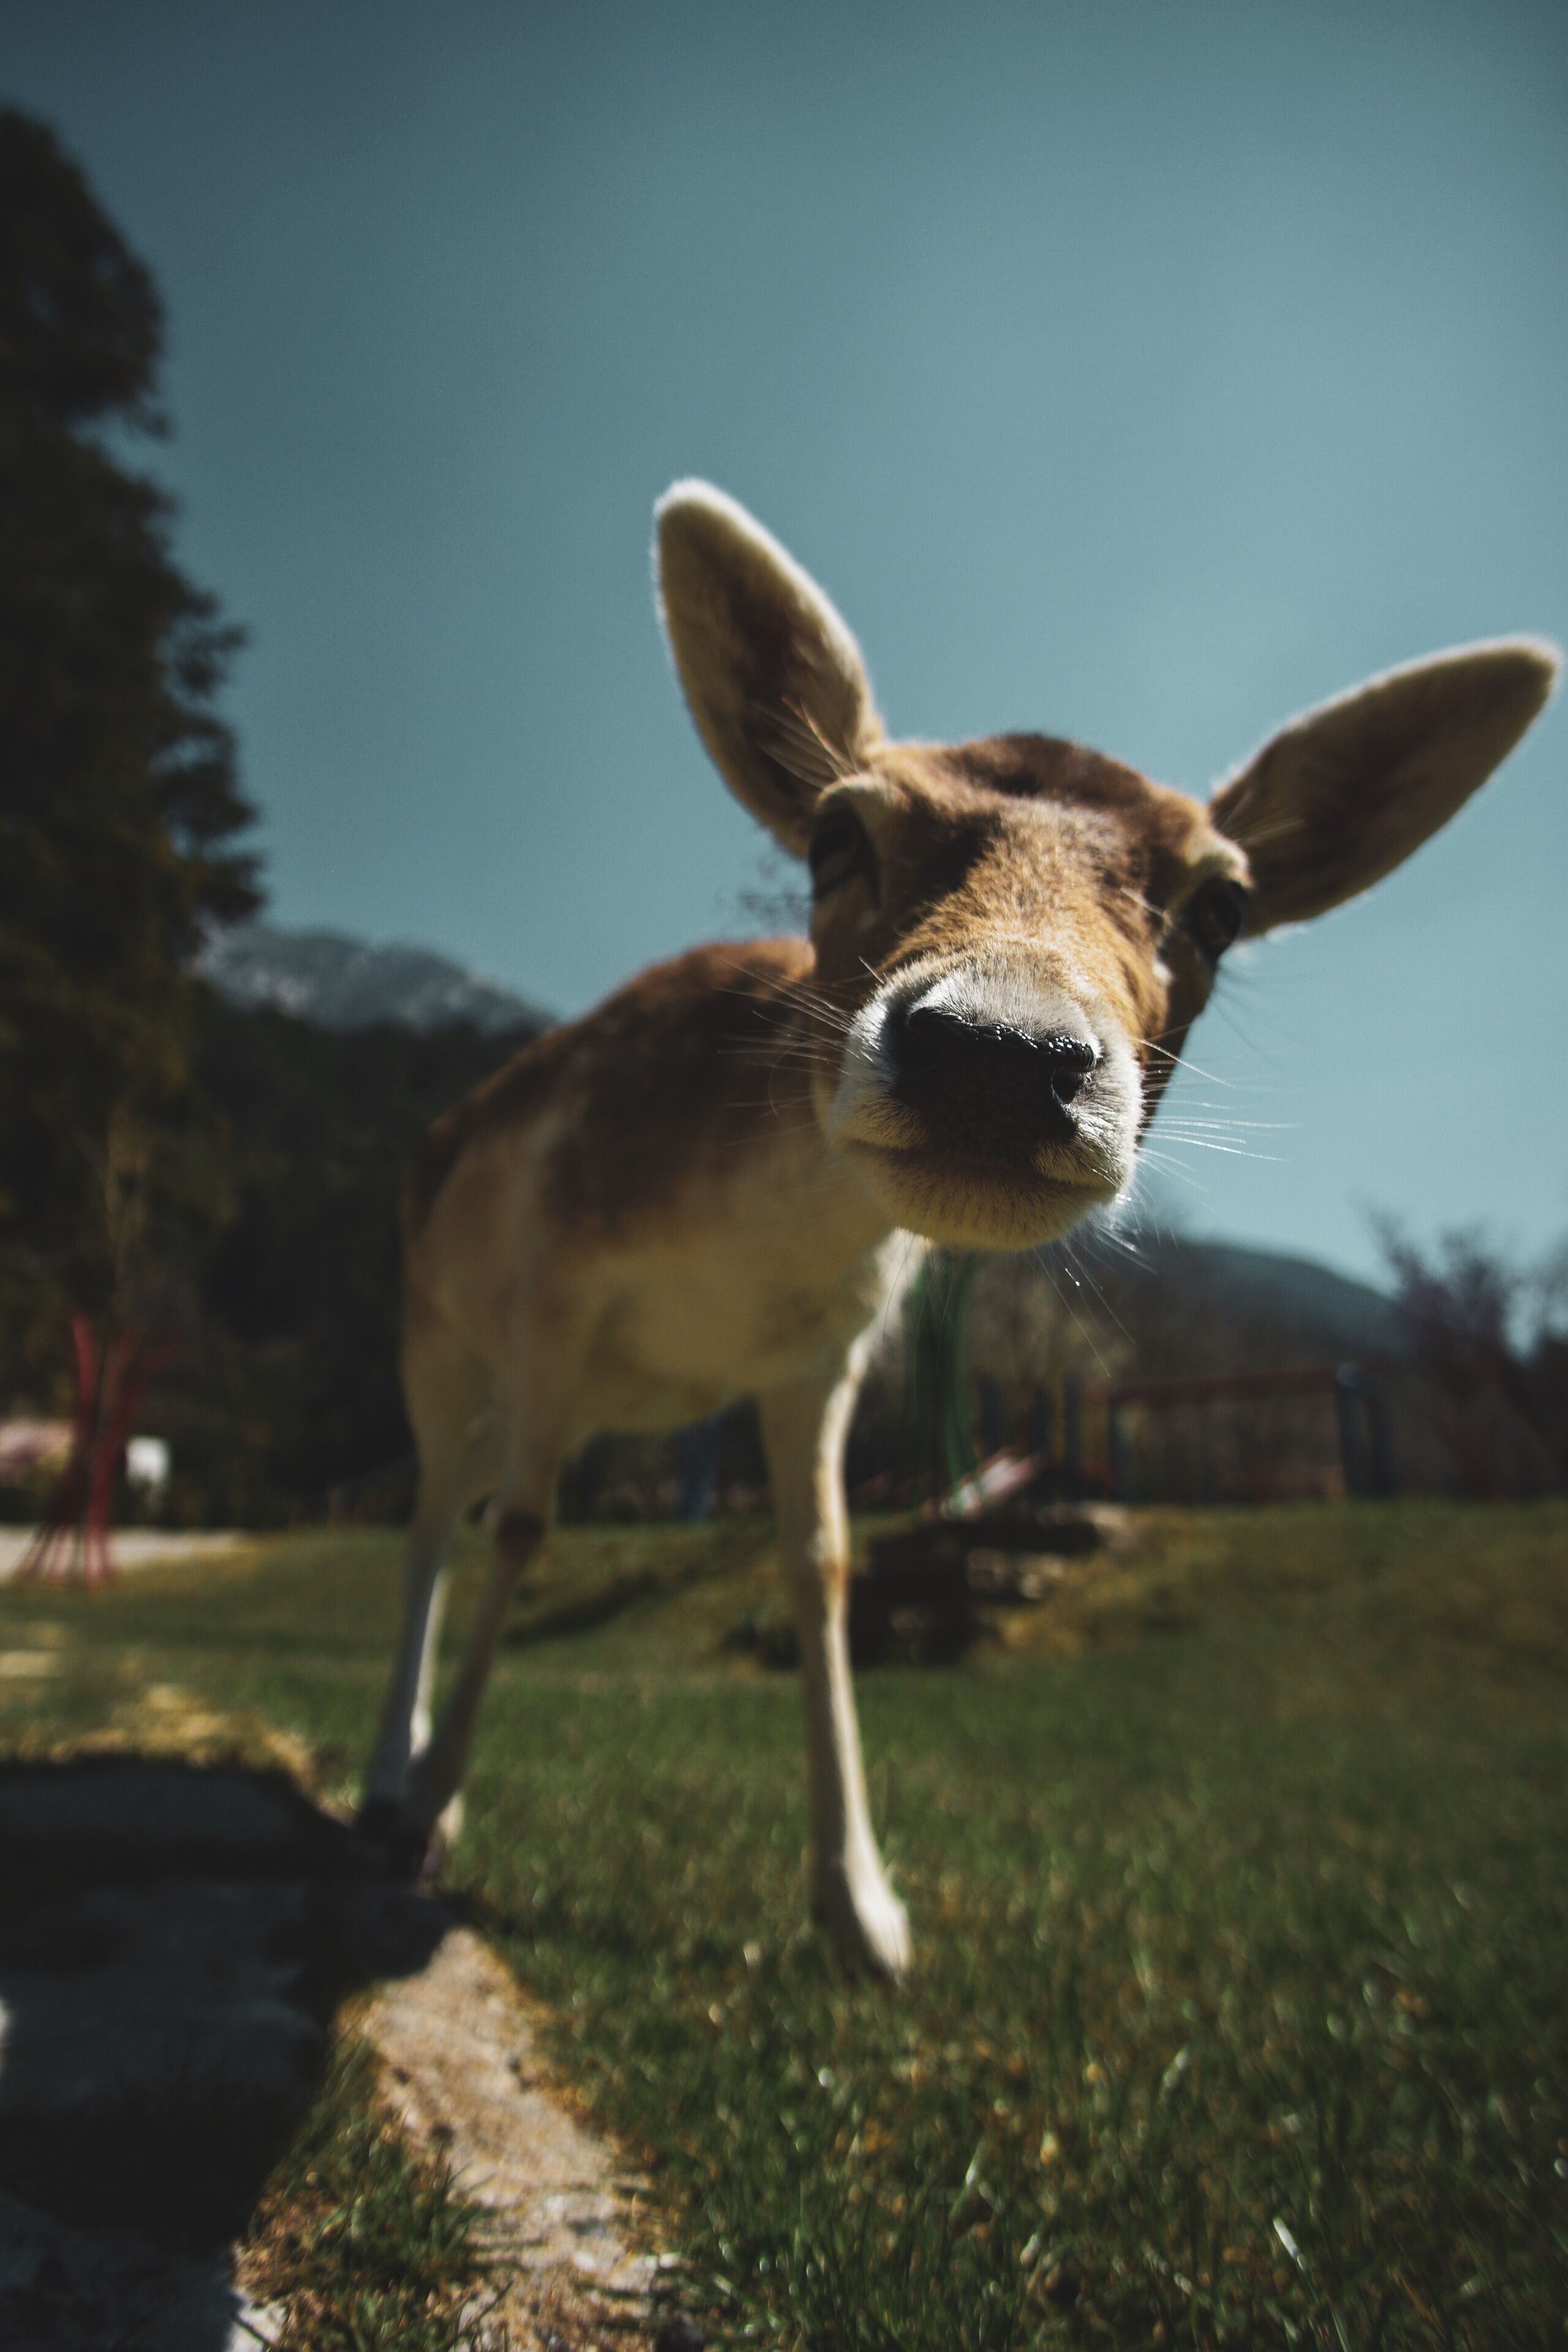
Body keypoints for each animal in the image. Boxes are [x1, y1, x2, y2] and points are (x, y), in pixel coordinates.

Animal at [359, 480, 1556, 1976]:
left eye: (1223, 905)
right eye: (834, 835)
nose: (996, 1053)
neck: (731, 1251)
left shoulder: (814, 1356)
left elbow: (819, 1564)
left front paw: (863, 1913)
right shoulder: (552, 1279)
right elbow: (525, 1530)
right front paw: (431, 1817)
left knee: (458, 1502)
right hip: (437, 1337)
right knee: (431, 1517)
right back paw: (389, 1785)